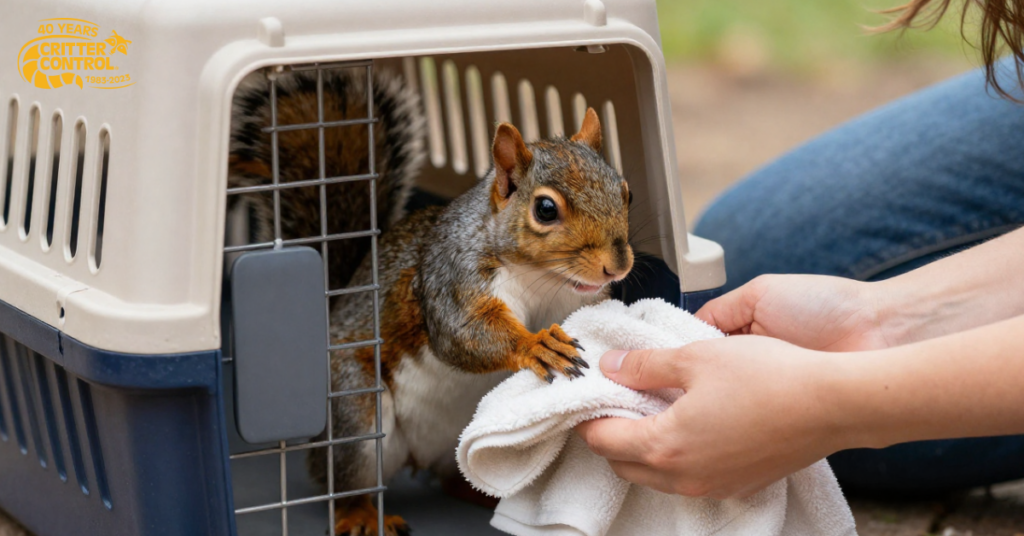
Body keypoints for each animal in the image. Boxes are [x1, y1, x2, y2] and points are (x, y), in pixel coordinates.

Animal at [229, 68, 633, 536]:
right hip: (356, 414)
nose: (616, 266)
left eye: (627, 193)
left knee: (454, 476)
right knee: (344, 482)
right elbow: (462, 333)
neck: (543, 280)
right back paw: (360, 513)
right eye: (546, 209)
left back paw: (485, 494)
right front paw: (535, 344)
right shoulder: (451, 275)